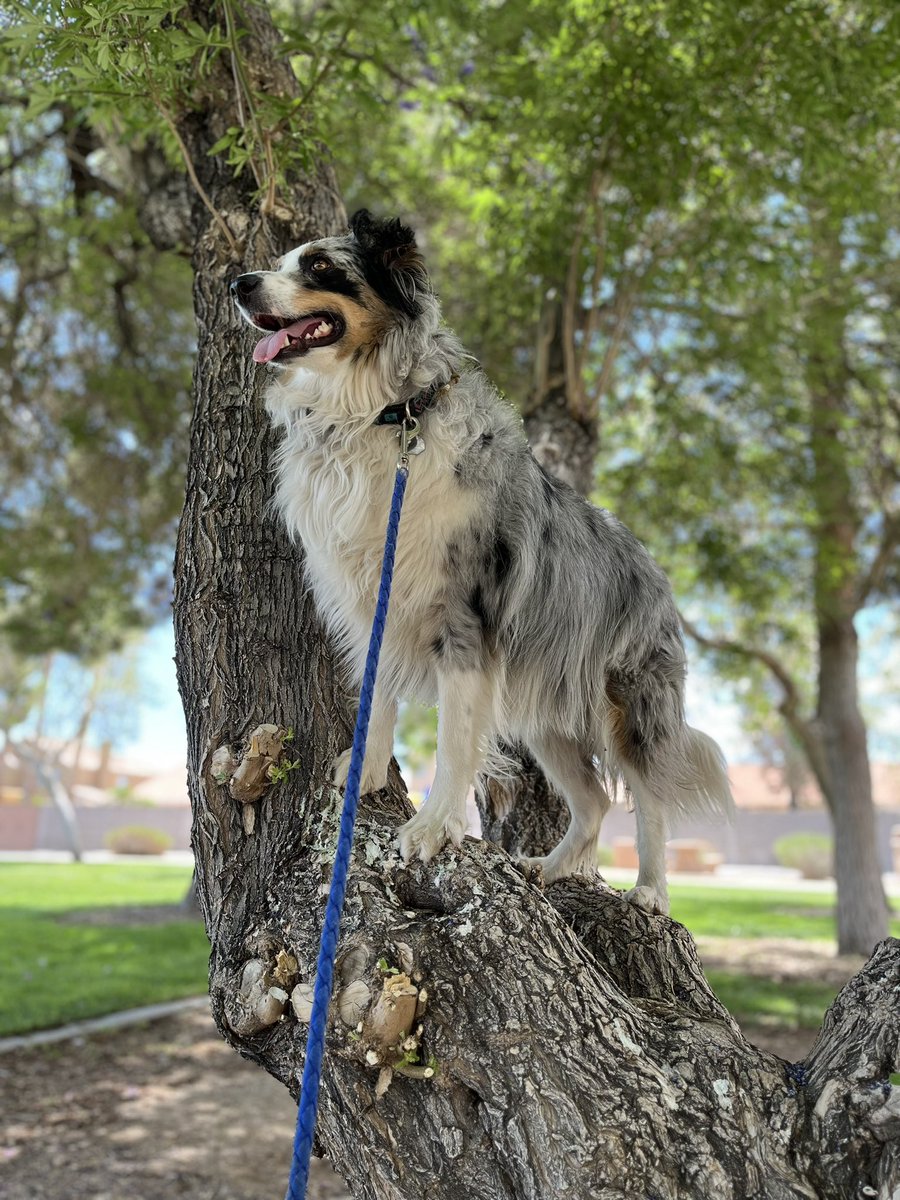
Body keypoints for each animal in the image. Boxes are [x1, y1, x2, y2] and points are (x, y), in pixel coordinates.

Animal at [230, 211, 734, 912]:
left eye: (321, 267)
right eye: (280, 262)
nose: (238, 284)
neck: (385, 415)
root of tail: (657, 574)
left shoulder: (465, 623)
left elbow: (454, 740)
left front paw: (432, 828)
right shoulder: (376, 604)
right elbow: (375, 699)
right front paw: (363, 776)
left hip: (632, 703)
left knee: (649, 796)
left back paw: (651, 891)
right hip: (547, 719)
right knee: (594, 802)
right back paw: (547, 869)